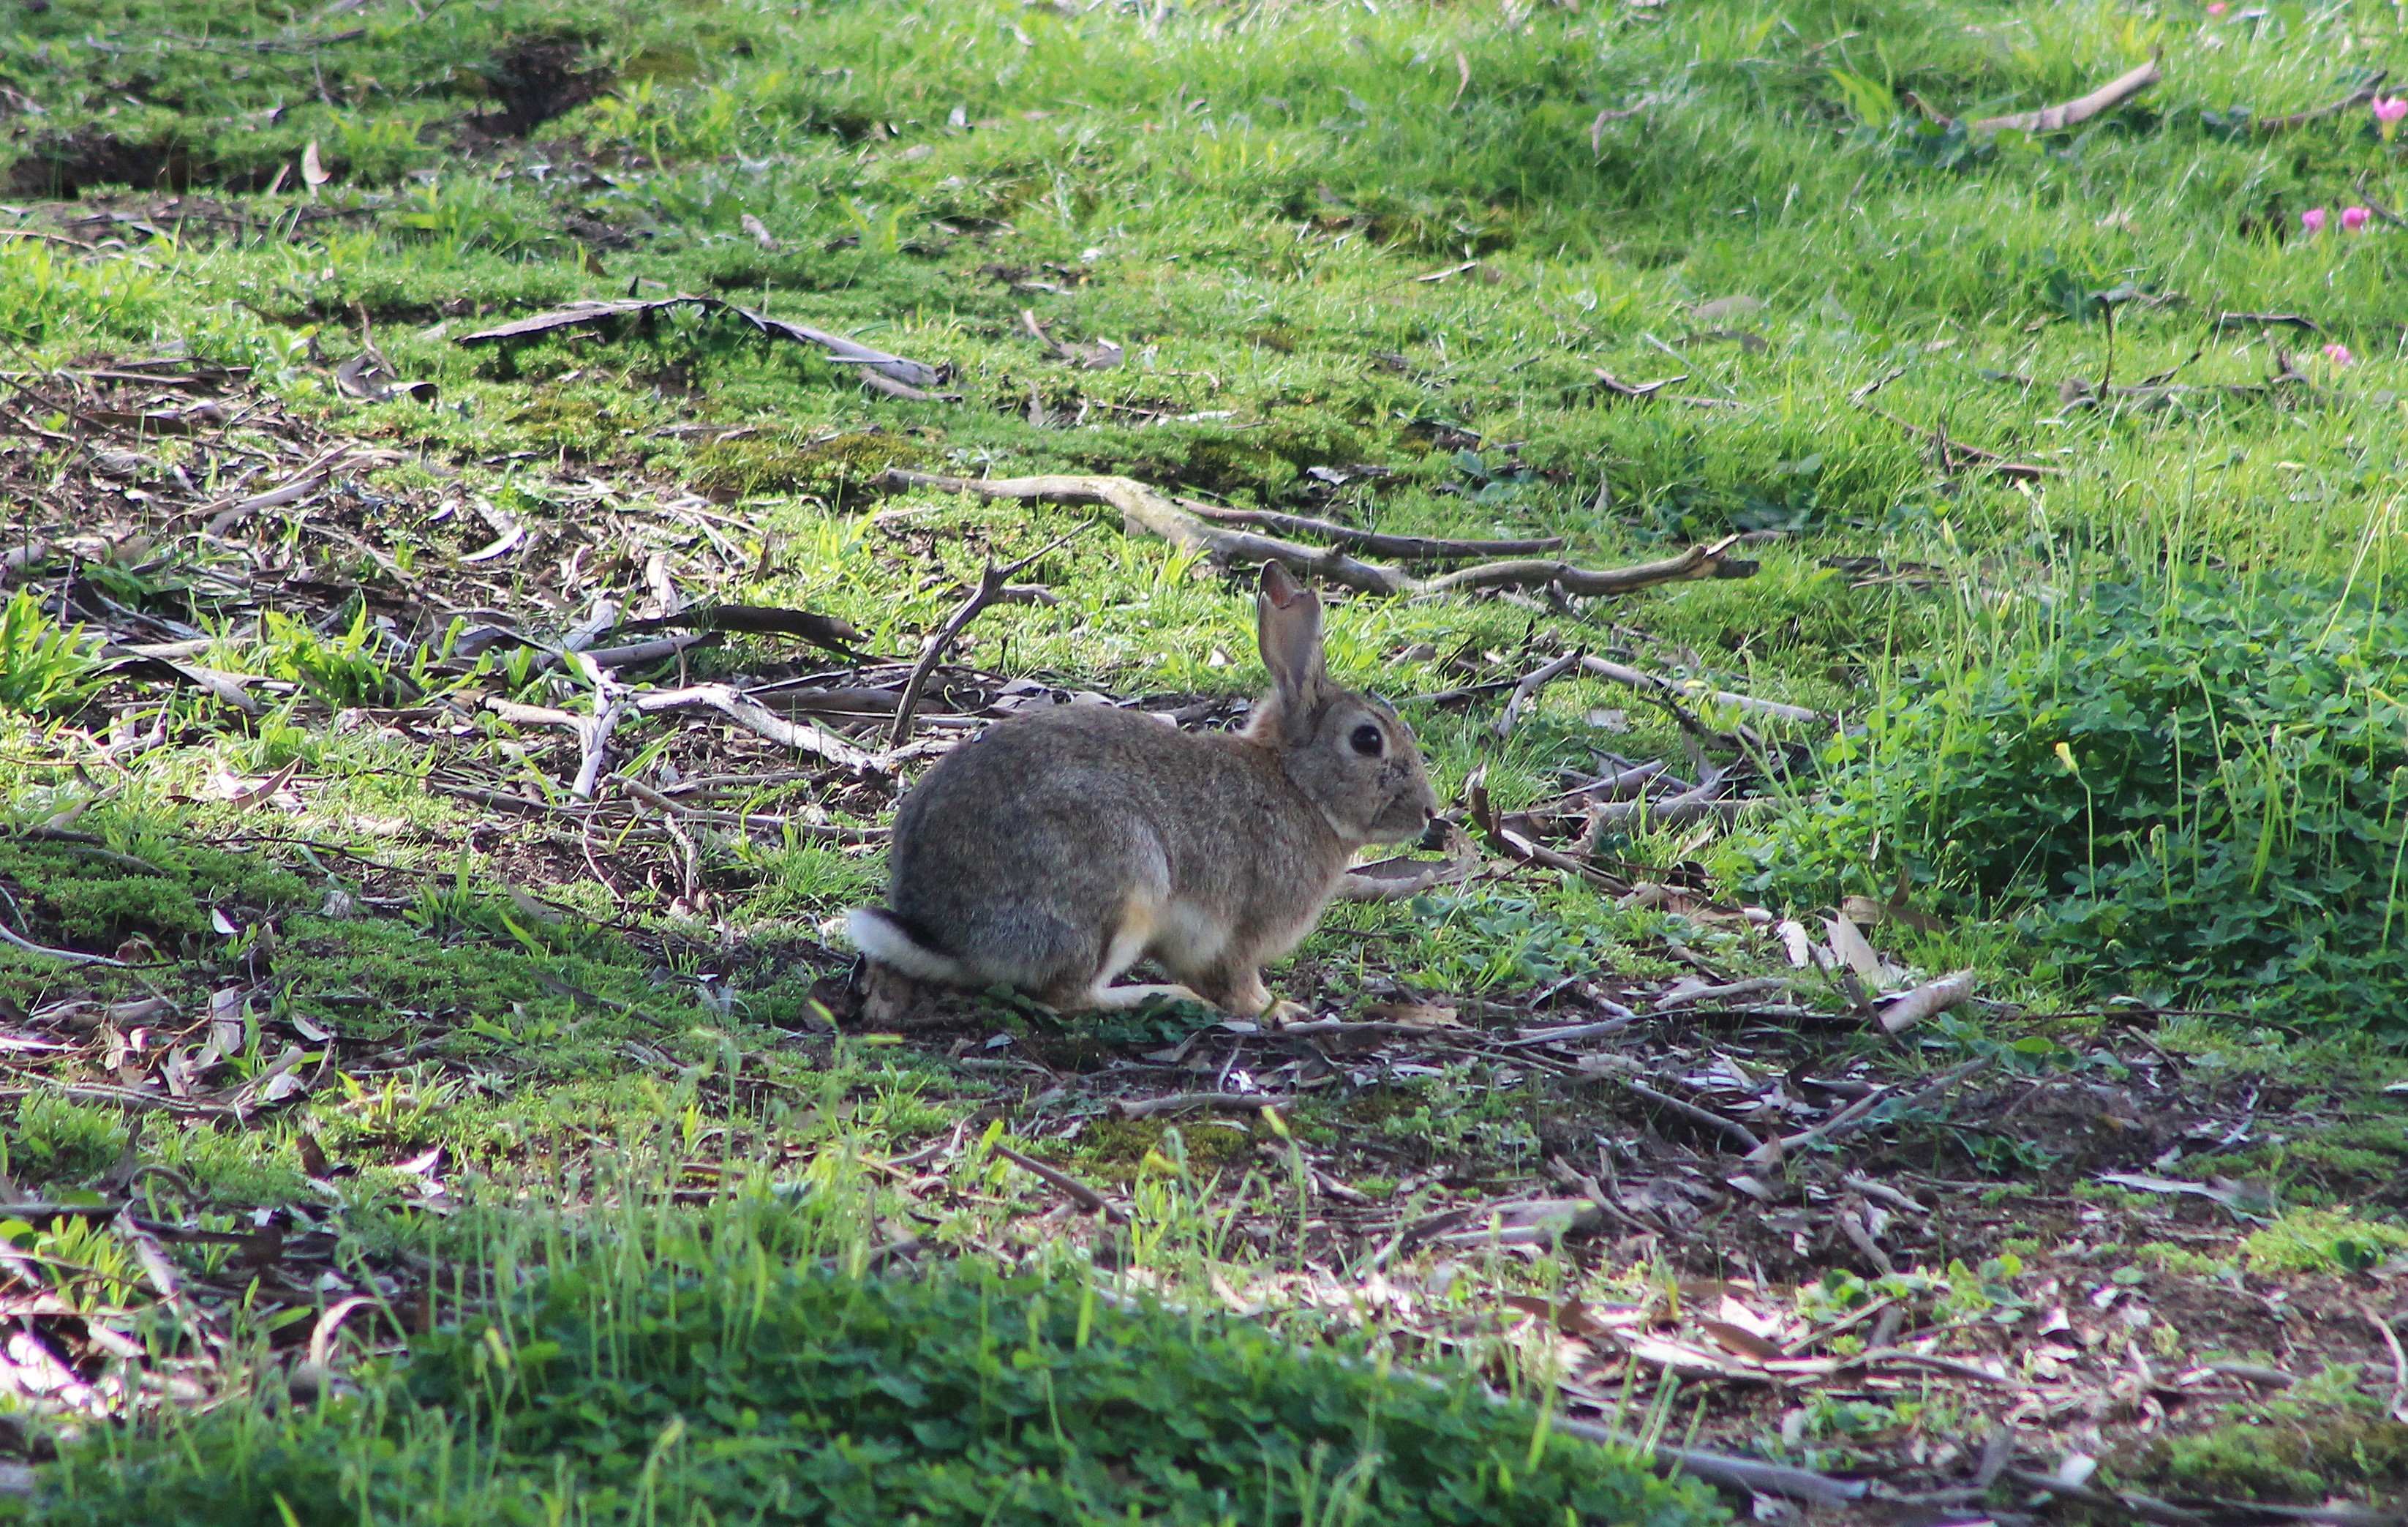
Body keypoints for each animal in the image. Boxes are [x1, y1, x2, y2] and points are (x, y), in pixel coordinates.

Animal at [849, 561, 1438, 1019]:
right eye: (1367, 740)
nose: (1429, 813)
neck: (1297, 783)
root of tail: (947, 935)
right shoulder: (1242, 931)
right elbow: (1241, 981)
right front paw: (1276, 1009)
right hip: (1123, 882)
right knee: (1065, 996)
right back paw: (1162, 997)